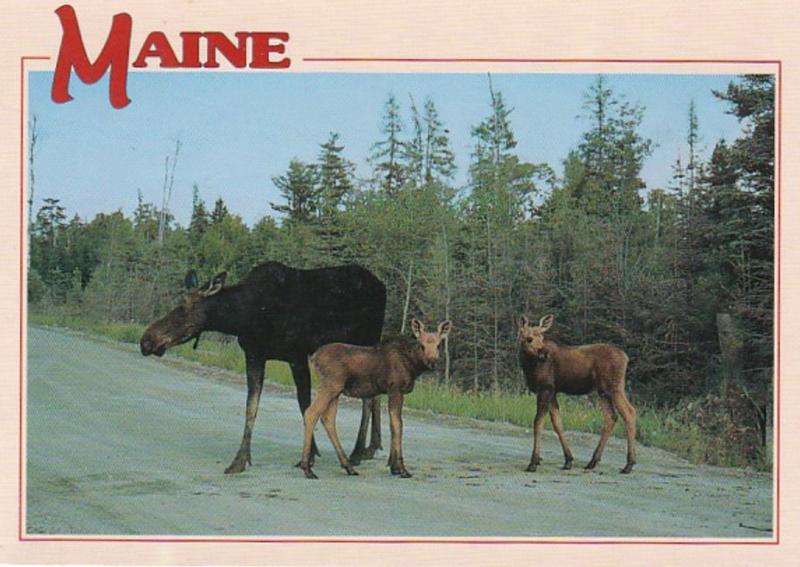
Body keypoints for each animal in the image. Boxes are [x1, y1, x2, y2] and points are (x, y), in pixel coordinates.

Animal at [139, 262, 386, 474]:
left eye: (182, 307)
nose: (146, 340)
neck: (245, 316)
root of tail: (382, 285)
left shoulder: (297, 355)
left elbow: (304, 405)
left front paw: (309, 456)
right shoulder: (254, 355)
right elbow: (251, 406)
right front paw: (239, 461)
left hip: (366, 342)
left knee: (368, 398)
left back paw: (358, 451)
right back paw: (371, 447)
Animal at [298, 320, 450, 480]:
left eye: (439, 345)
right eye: (422, 345)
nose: (432, 362)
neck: (413, 366)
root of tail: (313, 358)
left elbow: (393, 424)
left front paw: (394, 467)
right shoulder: (396, 389)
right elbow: (397, 425)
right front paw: (401, 469)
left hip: (335, 391)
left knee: (328, 419)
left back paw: (347, 466)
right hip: (330, 386)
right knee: (311, 413)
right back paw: (307, 468)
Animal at [520, 316, 636, 474]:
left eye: (542, 337)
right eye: (529, 338)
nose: (544, 353)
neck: (528, 366)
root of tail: (626, 358)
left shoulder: (545, 388)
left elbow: (538, 422)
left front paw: (533, 462)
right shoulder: (553, 391)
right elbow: (557, 423)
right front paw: (568, 460)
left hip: (614, 387)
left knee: (629, 413)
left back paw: (629, 464)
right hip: (603, 391)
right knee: (611, 417)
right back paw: (593, 461)